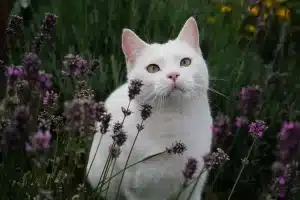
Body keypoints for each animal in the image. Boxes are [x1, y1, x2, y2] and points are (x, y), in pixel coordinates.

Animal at [86, 16, 213, 199]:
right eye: (153, 68)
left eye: (185, 62)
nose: (173, 75)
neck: (173, 120)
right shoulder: (133, 188)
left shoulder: (193, 187)